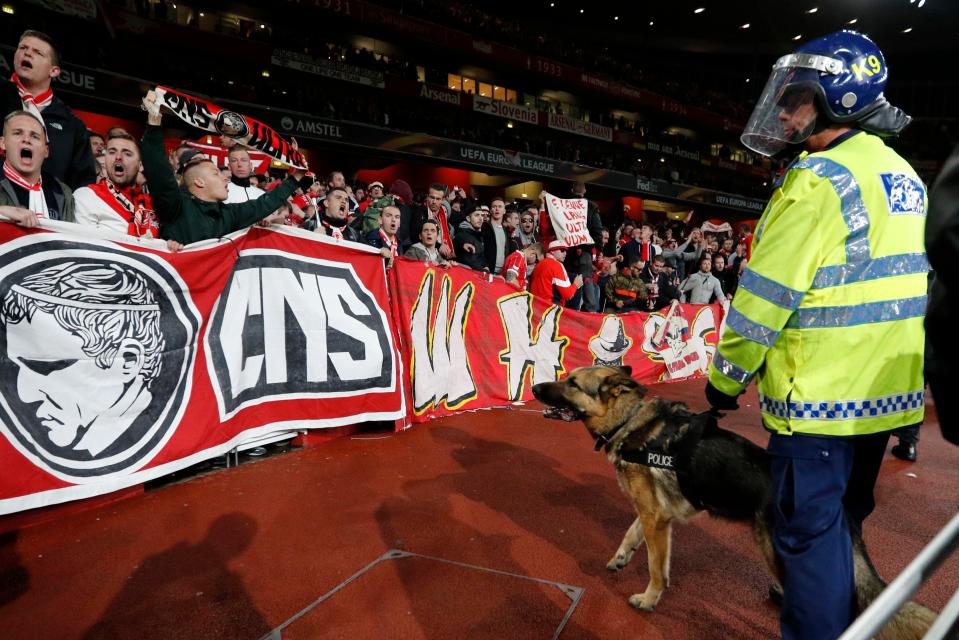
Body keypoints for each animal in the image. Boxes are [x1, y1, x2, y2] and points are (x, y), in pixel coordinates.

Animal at [528, 368, 932, 636]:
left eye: (572, 384)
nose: (533, 386)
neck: (628, 421)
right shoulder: (653, 513)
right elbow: (631, 533)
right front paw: (621, 557)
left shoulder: (658, 521)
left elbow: (657, 567)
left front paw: (649, 598)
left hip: (776, 553)